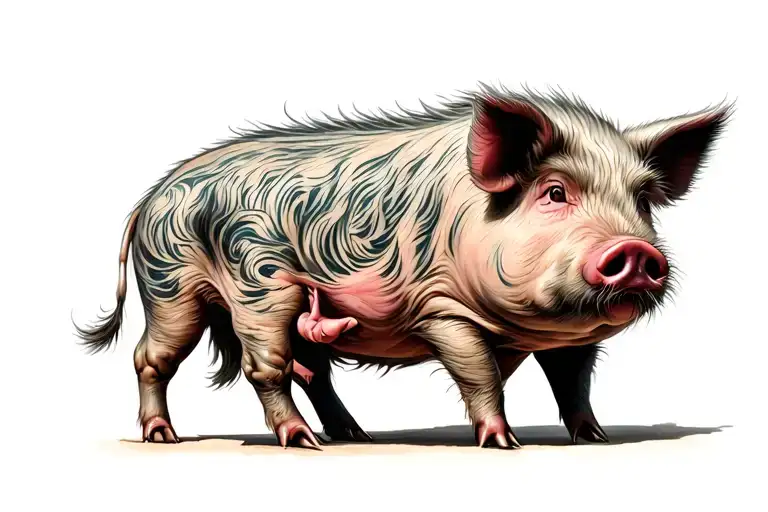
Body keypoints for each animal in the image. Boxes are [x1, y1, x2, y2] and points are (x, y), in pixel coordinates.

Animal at [74, 83, 732, 450]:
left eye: (642, 200)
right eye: (554, 192)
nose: (636, 251)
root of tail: (151, 196)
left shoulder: (572, 340)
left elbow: (574, 384)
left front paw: (597, 437)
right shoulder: (441, 310)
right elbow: (480, 376)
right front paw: (505, 443)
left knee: (311, 369)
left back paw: (351, 435)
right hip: (201, 288)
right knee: (199, 362)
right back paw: (208, 439)